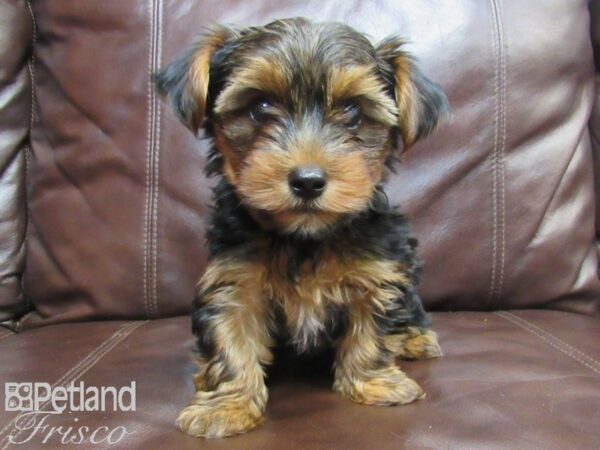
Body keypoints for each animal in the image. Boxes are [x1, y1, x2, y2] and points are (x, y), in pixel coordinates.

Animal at [157, 16, 448, 436]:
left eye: (353, 110)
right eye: (261, 106)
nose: (308, 181)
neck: (304, 238)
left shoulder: (378, 270)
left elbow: (373, 329)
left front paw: (374, 382)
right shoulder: (235, 280)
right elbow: (231, 338)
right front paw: (227, 407)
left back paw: (417, 338)